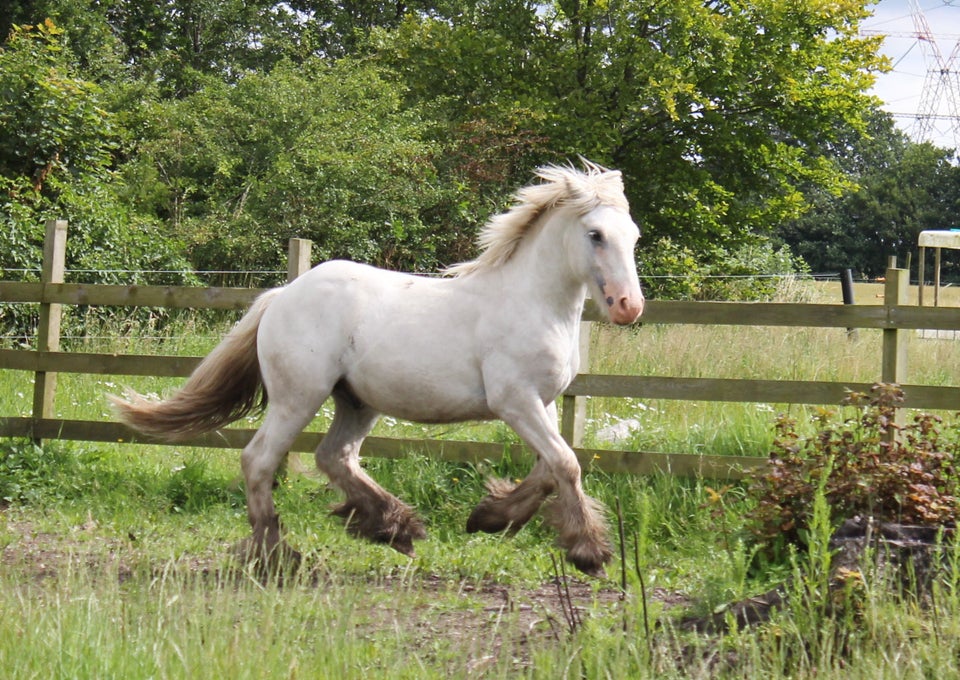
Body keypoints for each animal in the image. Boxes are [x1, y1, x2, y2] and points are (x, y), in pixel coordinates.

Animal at [110, 161, 644, 572]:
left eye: (633, 236)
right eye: (595, 235)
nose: (628, 306)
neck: (532, 301)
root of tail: (283, 294)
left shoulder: (543, 402)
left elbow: (550, 468)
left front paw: (489, 517)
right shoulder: (515, 401)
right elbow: (565, 463)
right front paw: (589, 553)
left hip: (356, 401)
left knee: (336, 457)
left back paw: (394, 527)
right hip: (297, 397)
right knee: (259, 460)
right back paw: (277, 556)